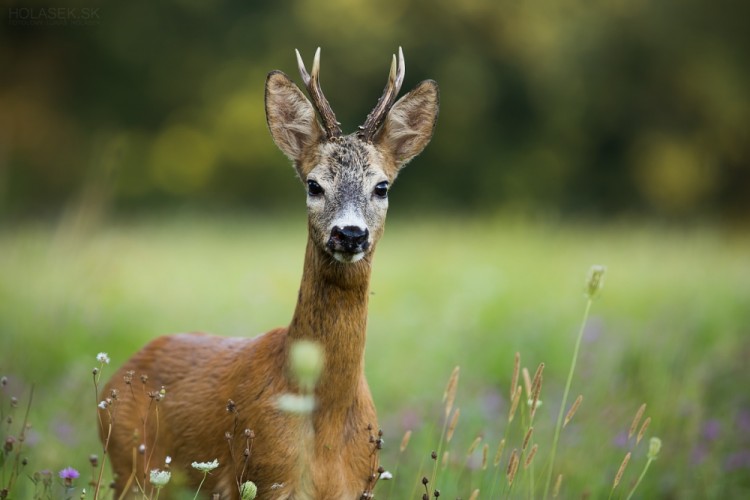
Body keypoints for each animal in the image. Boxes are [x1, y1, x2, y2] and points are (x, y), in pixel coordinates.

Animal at [100, 47, 440, 500]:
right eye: (314, 184)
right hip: (130, 467)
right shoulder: (264, 477)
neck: (325, 423)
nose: (349, 233)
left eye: (381, 187)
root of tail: (116, 375)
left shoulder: (358, 486)